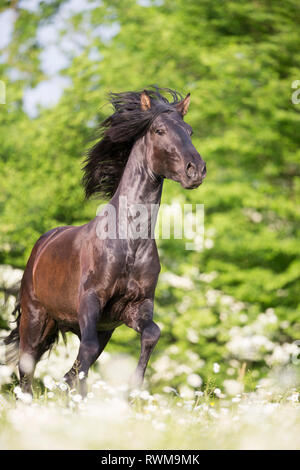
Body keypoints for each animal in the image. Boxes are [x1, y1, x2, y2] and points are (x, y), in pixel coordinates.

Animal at [4, 86, 206, 394]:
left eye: (190, 131)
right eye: (159, 130)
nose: (196, 170)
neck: (129, 242)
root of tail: (42, 245)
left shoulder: (132, 308)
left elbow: (152, 334)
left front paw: (133, 389)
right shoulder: (90, 300)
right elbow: (84, 353)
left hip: (100, 331)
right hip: (36, 318)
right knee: (27, 369)